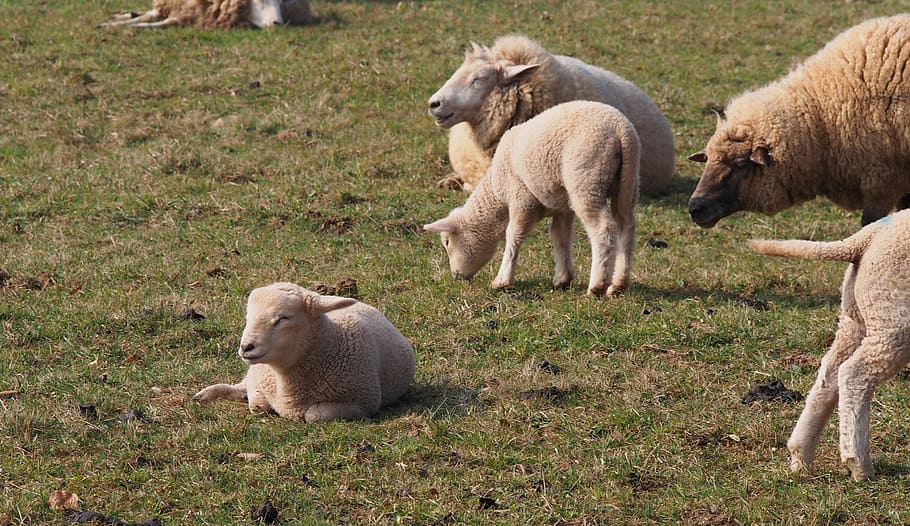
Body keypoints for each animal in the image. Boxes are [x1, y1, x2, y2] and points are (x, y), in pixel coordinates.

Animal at [193, 283, 416, 423]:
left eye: (283, 318)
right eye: (248, 317)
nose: (246, 347)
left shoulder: (364, 403)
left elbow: (313, 415)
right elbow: (257, 404)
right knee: (239, 387)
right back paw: (204, 395)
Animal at [424, 100, 639, 296]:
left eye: (447, 243)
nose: (456, 276)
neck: (496, 192)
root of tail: (619, 129)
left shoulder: (521, 197)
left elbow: (514, 235)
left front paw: (502, 281)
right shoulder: (562, 207)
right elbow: (560, 236)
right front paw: (562, 279)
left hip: (586, 179)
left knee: (603, 229)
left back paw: (597, 285)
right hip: (627, 182)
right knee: (626, 227)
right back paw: (619, 284)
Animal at [749, 209, 910, 481]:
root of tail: (868, 236)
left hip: (856, 318)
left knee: (830, 374)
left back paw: (801, 454)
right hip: (893, 317)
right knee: (854, 374)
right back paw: (859, 465)